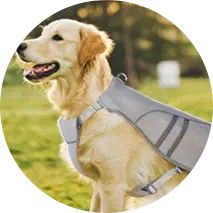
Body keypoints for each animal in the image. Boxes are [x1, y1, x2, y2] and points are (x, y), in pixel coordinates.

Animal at [15, 19, 187, 212]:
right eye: (42, 34)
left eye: (57, 37)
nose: (19, 46)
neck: (91, 106)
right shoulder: (99, 185)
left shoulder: (113, 186)